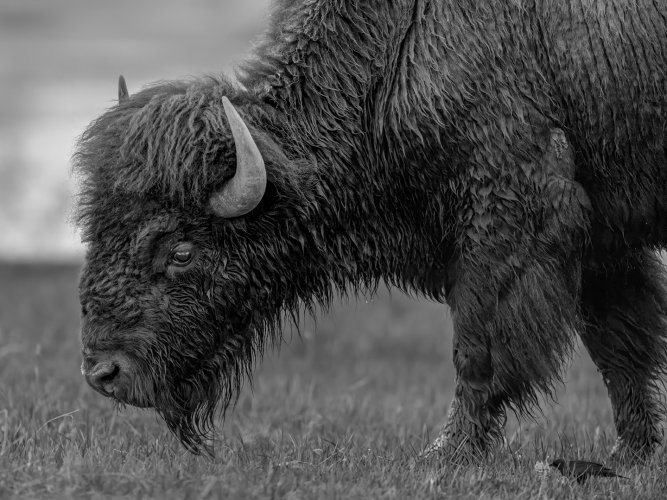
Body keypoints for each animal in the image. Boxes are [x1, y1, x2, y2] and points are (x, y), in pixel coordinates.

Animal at [75, 0, 667, 460]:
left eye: (180, 250)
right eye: (97, 228)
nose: (104, 372)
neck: (393, 58)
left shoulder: (509, 226)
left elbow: (480, 352)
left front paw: (445, 455)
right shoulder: (603, 241)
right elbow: (621, 347)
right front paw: (631, 454)